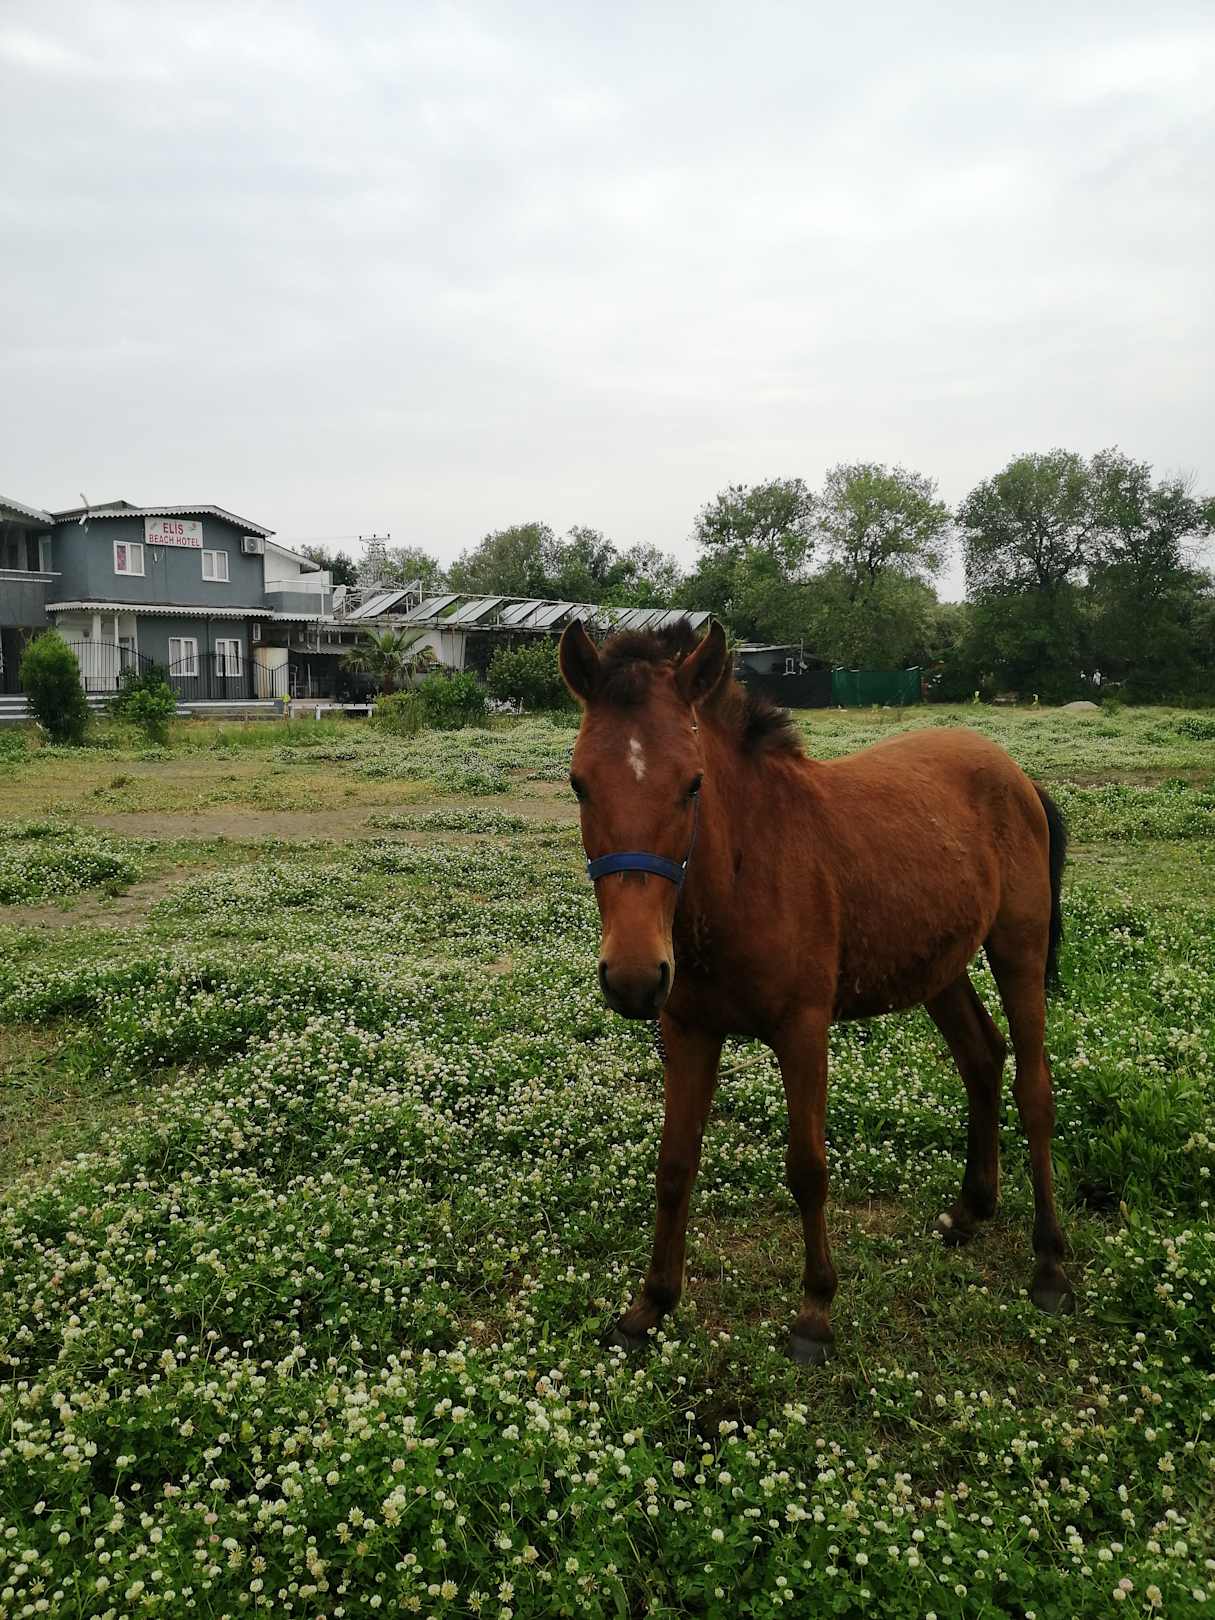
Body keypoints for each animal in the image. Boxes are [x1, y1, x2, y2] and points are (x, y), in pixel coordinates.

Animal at [558, 617, 1074, 1365]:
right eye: (578, 783)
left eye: (692, 784)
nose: (633, 977)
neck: (745, 873)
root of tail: (1015, 773)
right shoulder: (688, 1031)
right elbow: (674, 1162)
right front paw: (649, 1304)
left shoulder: (802, 1031)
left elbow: (807, 1168)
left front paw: (814, 1312)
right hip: (939, 967)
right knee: (981, 1058)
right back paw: (969, 1210)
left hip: (1018, 949)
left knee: (1033, 1088)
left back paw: (1050, 1263)